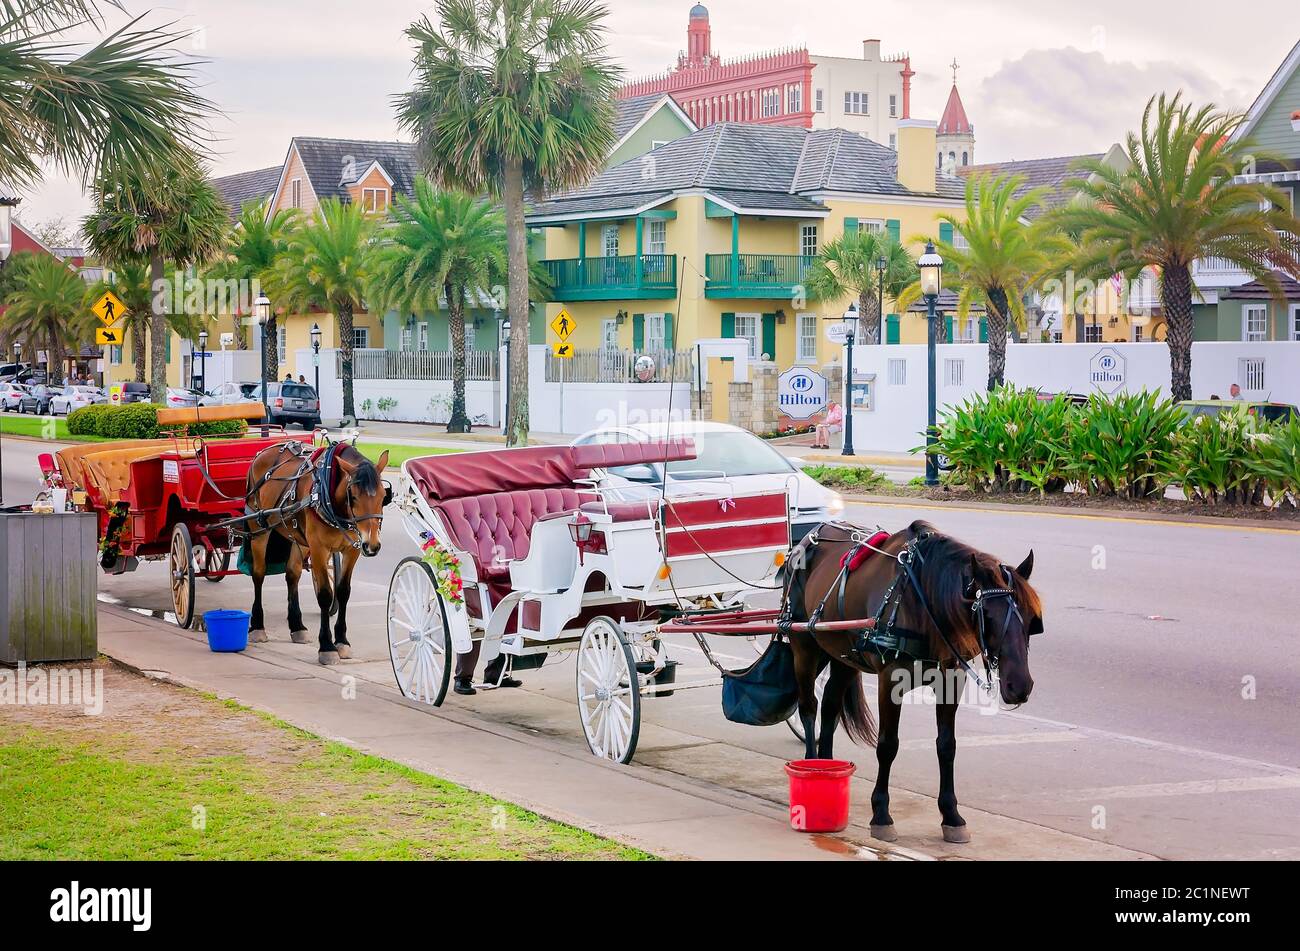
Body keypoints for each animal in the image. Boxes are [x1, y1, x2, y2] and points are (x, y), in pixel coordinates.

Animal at [243, 441, 384, 665]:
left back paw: (297, 626)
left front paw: (342, 641)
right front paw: (327, 646)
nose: (372, 545)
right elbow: (325, 594)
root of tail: (263, 452)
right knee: (258, 573)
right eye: (353, 496)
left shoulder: (352, 549)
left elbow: (343, 592)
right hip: (259, 528)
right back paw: (257, 625)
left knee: (292, 574)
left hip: (298, 536)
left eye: (383, 495)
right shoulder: (319, 548)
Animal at [780, 524, 1045, 841]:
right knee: (809, 706)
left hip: (844, 653)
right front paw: (881, 813)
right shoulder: (890, 679)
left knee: (831, 704)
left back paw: (825, 766)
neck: (925, 604)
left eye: (1031, 619)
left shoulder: (950, 679)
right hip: (803, 645)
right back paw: (810, 765)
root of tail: (809, 536)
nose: (1020, 686)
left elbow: (947, 745)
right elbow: (888, 745)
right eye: (988, 616)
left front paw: (951, 815)